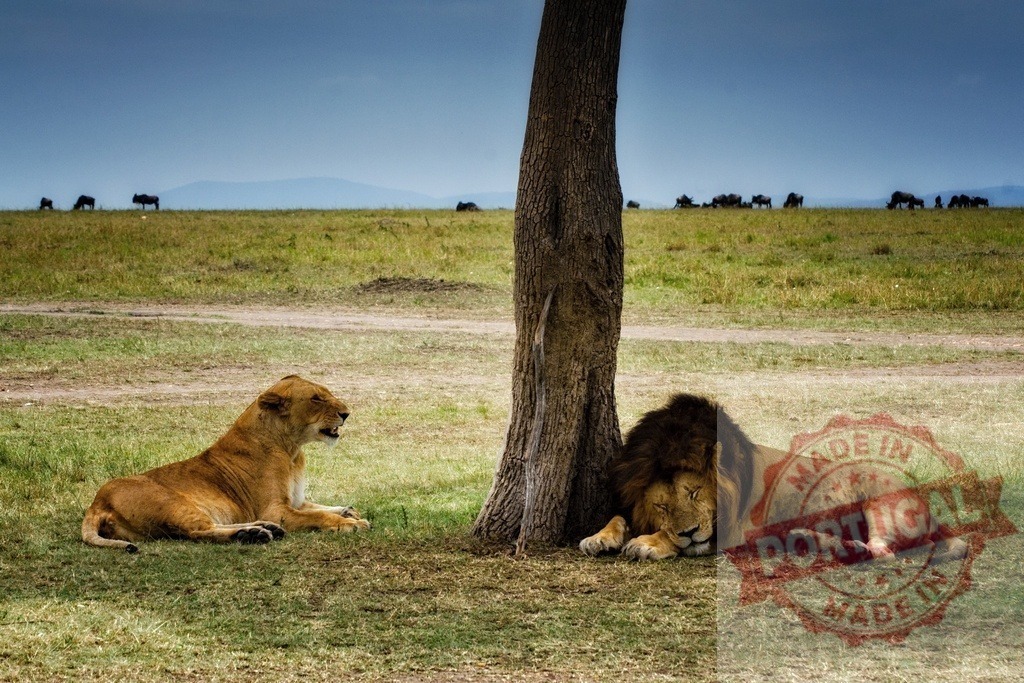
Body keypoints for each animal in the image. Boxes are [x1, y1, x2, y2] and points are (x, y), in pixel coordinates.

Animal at [82, 375, 370, 552]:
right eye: (316, 398)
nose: (346, 413)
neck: (292, 449)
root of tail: (96, 503)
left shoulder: (294, 502)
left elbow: (317, 505)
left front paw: (348, 511)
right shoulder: (275, 509)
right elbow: (317, 515)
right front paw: (350, 523)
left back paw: (262, 530)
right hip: (174, 503)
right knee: (198, 531)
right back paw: (253, 534)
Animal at [580, 393, 968, 564]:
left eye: (693, 493)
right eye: (661, 505)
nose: (688, 530)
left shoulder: (732, 530)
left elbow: (681, 540)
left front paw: (647, 543)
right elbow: (619, 516)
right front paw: (599, 537)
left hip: (881, 503)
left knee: (883, 552)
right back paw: (809, 539)